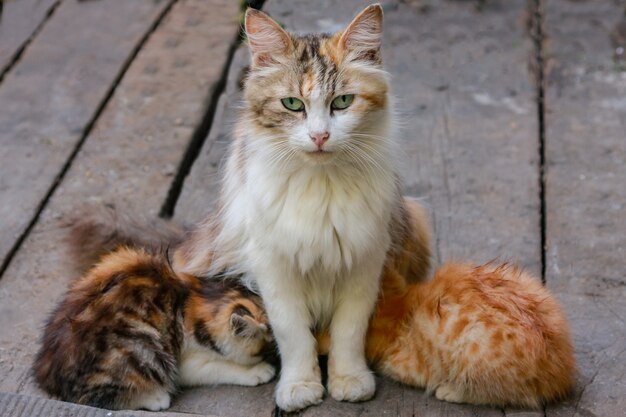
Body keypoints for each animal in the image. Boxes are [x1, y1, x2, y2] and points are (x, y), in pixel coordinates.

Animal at [33, 247, 274, 410]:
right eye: (269, 349)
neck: (196, 298)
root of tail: (48, 377)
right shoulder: (186, 362)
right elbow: (219, 368)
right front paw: (256, 371)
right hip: (143, 346)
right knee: (91, 397)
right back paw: (155, 398)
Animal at [172, 5, 404, 410]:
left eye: (342, 102)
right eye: (292, 104)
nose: (319, 136)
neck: (322, 186)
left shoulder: (363, 262)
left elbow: (349, 331)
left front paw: (349, 380)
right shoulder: (274, 269)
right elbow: (293, 334)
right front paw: (300, 387)